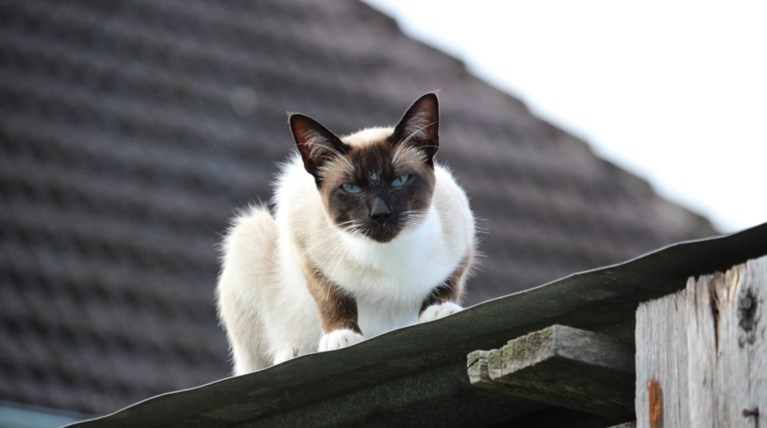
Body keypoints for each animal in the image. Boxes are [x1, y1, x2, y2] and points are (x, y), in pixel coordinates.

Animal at [216, 93, 476, 374]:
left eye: (399, 181)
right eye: (351, 188)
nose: (380, 214)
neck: (390, 257)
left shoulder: (464, 239)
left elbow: (448, 282)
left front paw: (441, 310)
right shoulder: (305, 246)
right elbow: (332, 296)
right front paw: (341, 337)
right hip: (248, 236)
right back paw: (291, 353)